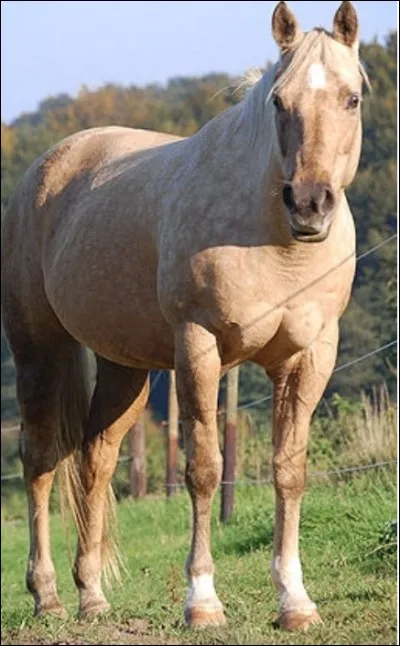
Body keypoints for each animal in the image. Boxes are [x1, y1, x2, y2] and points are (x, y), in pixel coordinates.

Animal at [2, 0, 369, 632]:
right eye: (279, 101)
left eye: (352, 98)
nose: (309, 203)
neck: (275, 242)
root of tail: (46, 167)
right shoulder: (200, 347)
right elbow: (204, 468)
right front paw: (202, 601)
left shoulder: (311, 355)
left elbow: (288, 469)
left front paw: (295, 602)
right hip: (37, 351)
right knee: (41, 459)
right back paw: (47, 596)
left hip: (123, 368)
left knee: (96, 461)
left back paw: (91, 596)